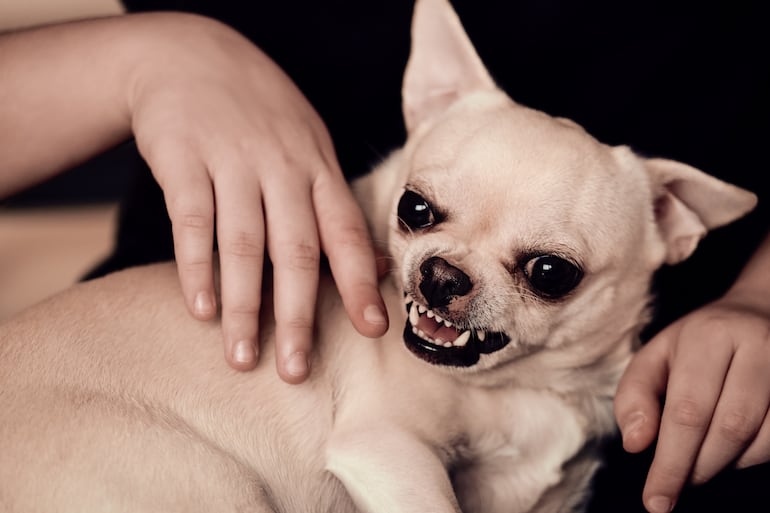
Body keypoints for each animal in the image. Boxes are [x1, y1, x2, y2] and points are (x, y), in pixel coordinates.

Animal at [0, 1, 756, 512]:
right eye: (414, 209)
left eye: (550, 273)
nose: (441, 273)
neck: (522, 392)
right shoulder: (392, 452)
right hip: (213, 480)